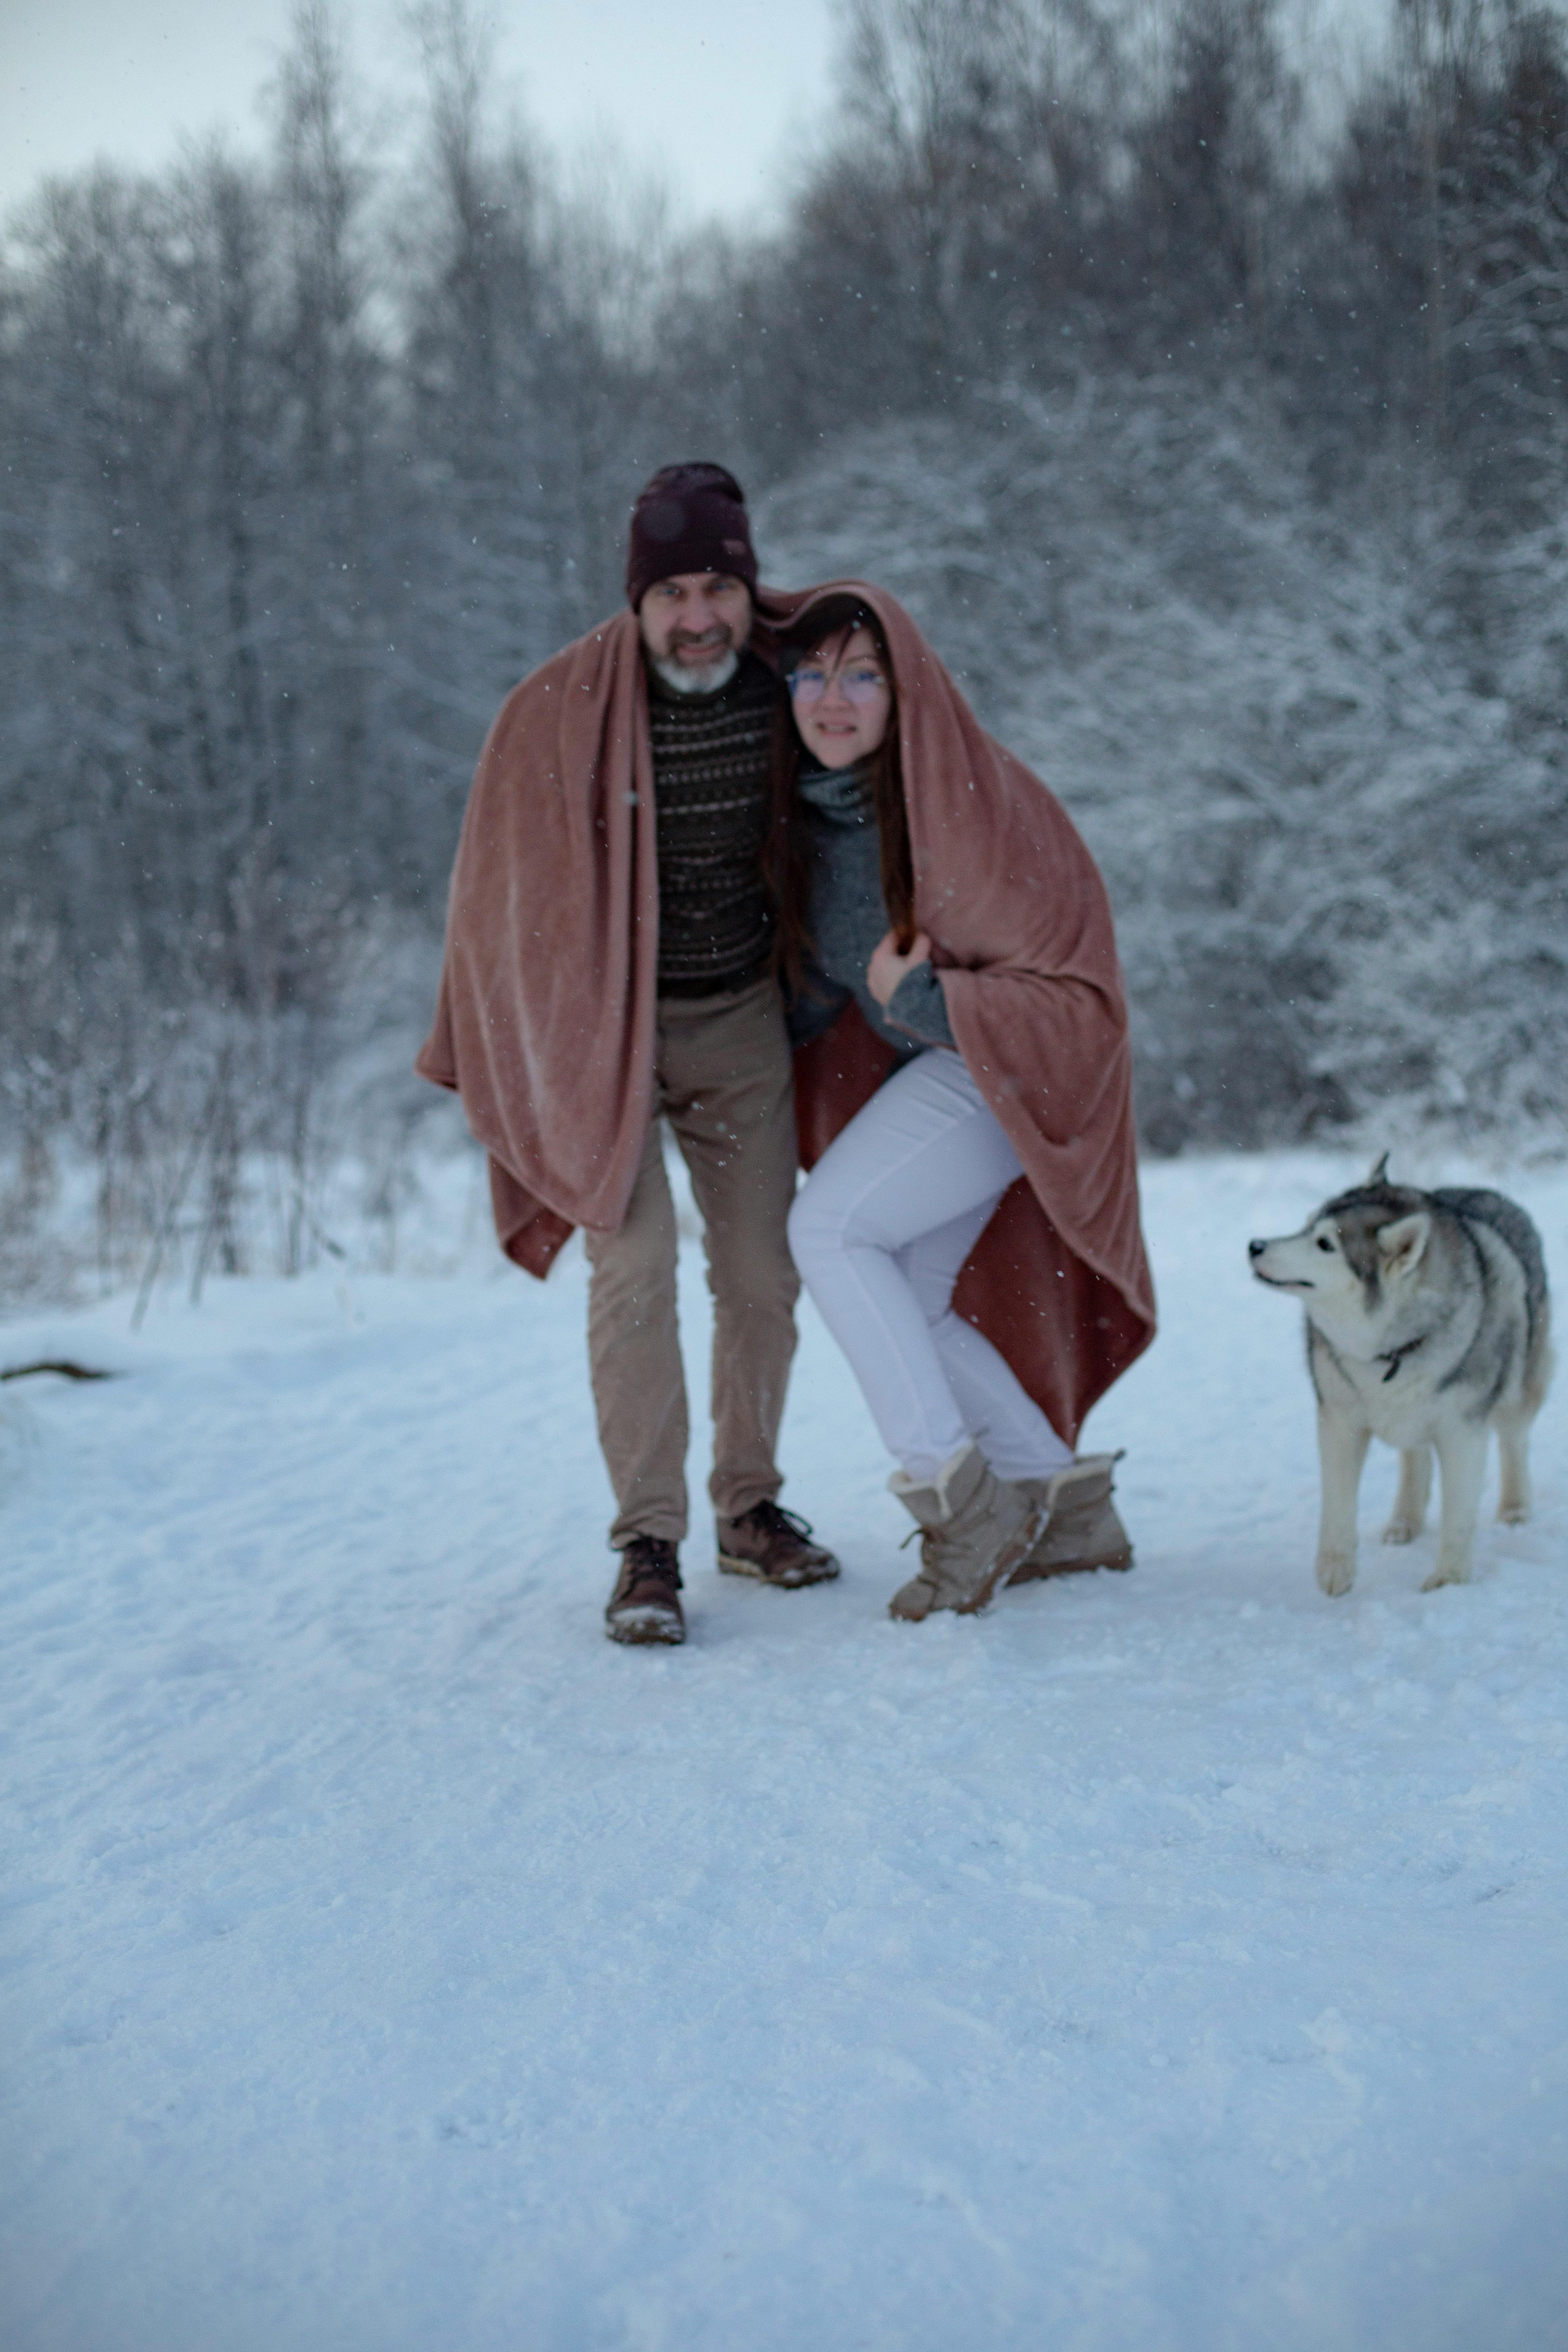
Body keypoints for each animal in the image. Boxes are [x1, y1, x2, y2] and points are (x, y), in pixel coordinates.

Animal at [1260, 1162, 1551, 1599]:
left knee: (1514, 1440)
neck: (1393, 1348)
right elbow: (1338, 1502)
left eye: (1325, 1244)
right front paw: (1335, 1570)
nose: (1255, 1246)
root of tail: (1480, 1190)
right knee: (1415, 1457)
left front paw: (1450, 1580)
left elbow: (1458, 1515)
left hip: (1518, 1387)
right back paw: (1405, 1522)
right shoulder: (1339, 1421)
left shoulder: (1462, 1430)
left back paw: (1514, 1509)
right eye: (1305, 1225)